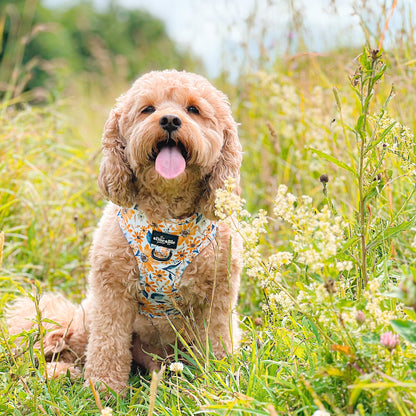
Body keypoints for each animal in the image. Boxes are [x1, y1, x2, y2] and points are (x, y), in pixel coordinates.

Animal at [4, 70, 242, 394]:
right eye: (148, 109)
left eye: (193, 109)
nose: (170, 120)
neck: (166, 219)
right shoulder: (111, 292)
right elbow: (107, 346)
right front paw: (103, 390)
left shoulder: (217, 296)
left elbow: (216, 341)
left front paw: (217, 380)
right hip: (87, 319)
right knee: (69, 347)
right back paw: (61, 372)